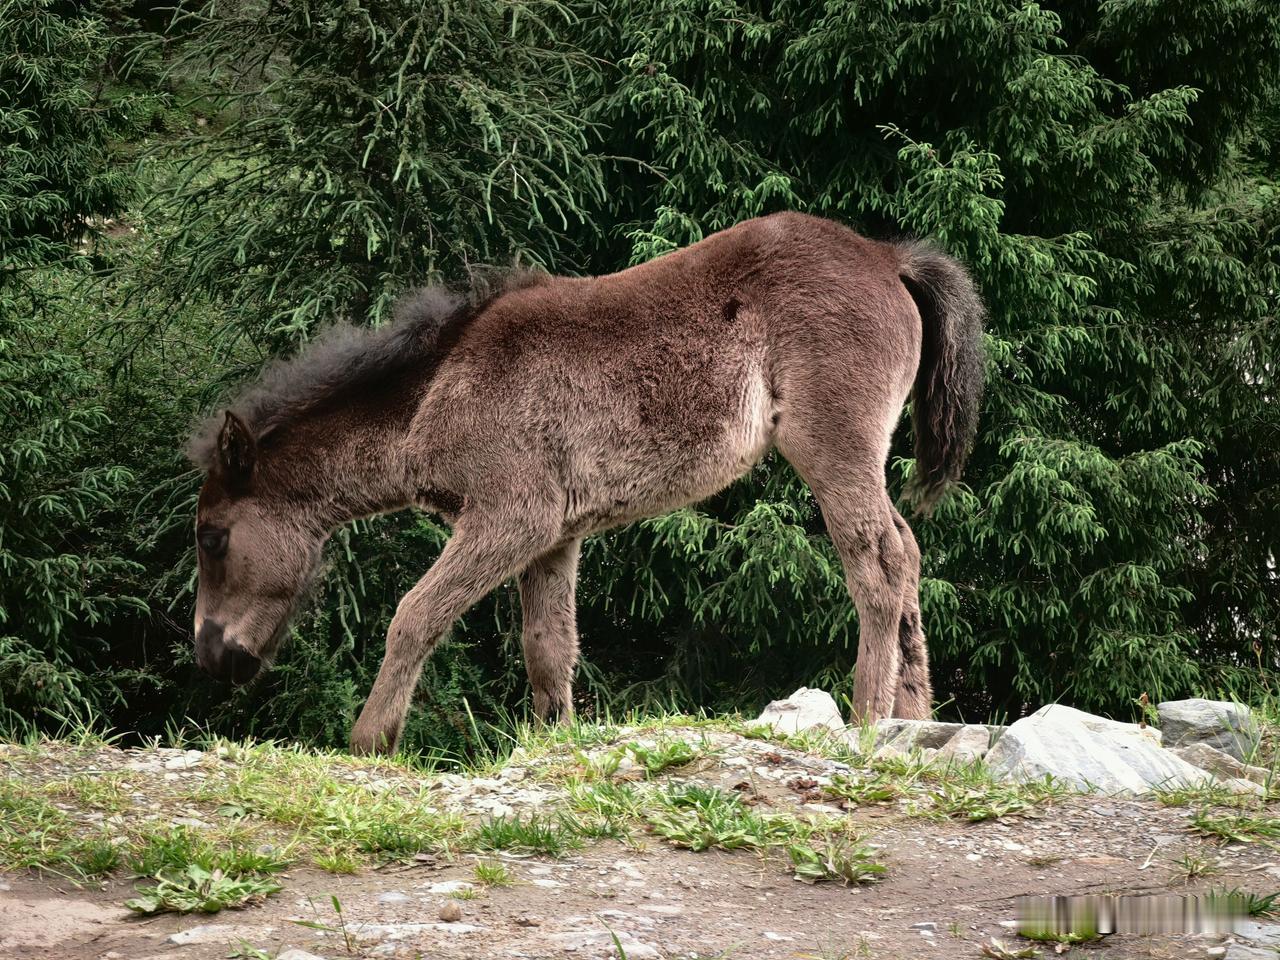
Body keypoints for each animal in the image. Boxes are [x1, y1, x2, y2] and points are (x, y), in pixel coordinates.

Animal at [188, 211, 984, 755]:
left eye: (212, 538)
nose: (210, 660)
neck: (440, 388)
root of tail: (887, 256)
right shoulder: (554, 537)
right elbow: (548, 646)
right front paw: (551, 744)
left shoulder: (510, 518)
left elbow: (414, 615)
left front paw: (371, 739)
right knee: (908, 552)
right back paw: (915, 720)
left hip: (831, 447)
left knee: (877, 559)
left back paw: (868, 719)